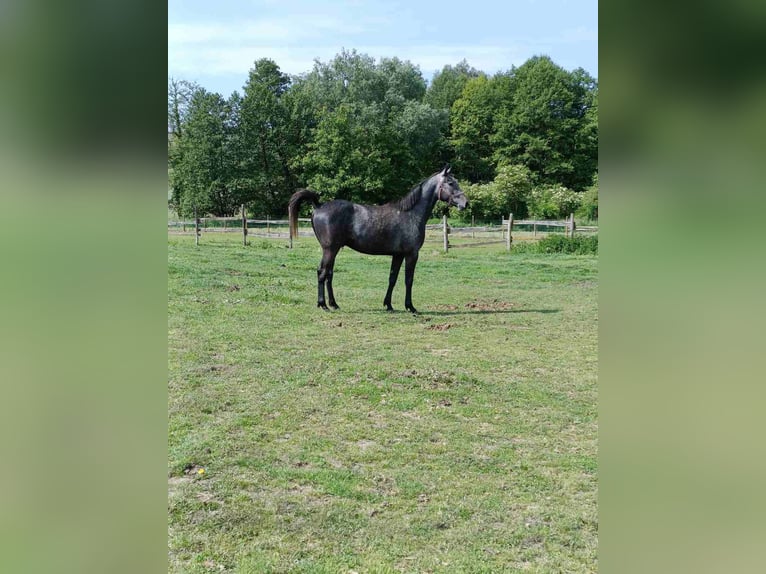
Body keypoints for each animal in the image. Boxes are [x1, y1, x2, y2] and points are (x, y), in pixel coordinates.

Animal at [288, 165, 468, 316]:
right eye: (450, 183)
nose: (465, 203)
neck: (411, 214)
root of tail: (319, 206)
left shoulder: (398, 255)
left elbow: (392, 278)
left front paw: (388, 305)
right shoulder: (412, 254)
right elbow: (408, 280)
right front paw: (410, 307)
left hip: (334, 250)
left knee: (329, 274)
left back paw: (334, 304)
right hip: (330, 249)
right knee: (322, 272)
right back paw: (323, 305)